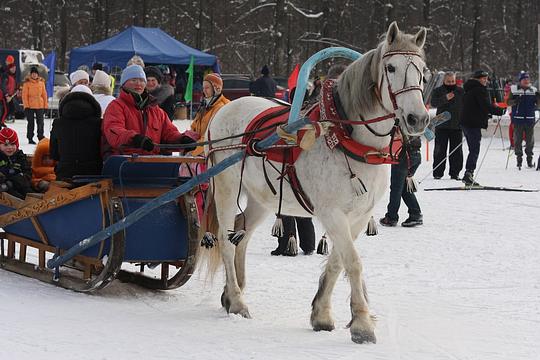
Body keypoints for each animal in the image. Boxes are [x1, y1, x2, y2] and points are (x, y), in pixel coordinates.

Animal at [200, 22, 428, 344]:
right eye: (391, 67)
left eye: (423, 70)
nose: (417, 118)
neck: (348, 139)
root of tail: (223, 109)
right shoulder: (331, 213)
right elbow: (353, 262)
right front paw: (362, 324)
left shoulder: (358, 216)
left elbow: (337, 261)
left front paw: (321, 314)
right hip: (226, 187)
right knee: (225, 238)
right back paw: (237, 300)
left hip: (261, 197)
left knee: (241, 234)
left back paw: (233, 294)